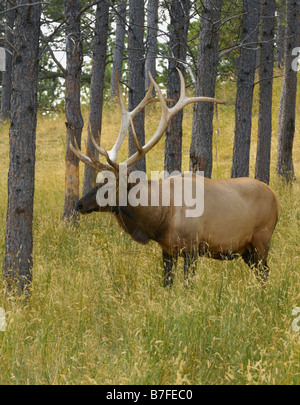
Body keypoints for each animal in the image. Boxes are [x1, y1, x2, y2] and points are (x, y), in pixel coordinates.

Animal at [71, 71, 280, 288]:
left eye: (110, 185)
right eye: (99, 180)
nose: (79, 204)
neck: (160, 218)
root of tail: (276, 198)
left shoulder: (192, 248)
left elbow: (188, 285)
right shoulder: (167, 250)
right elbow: (167, 284)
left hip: (262, 239)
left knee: (265, 272)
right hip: (246, 249)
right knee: (261, 274)